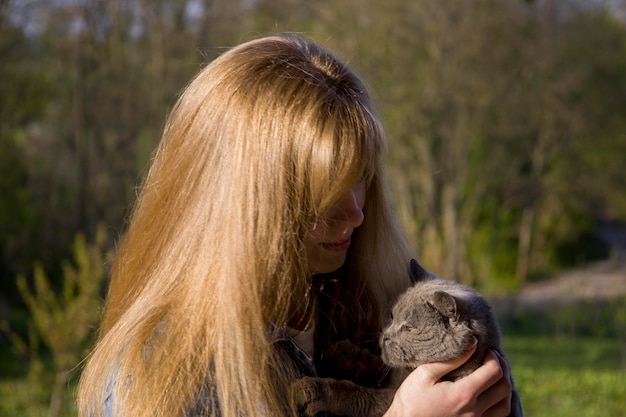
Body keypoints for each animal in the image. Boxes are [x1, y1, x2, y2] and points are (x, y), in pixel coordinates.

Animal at [290, 258, 520, 414]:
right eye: (392, 316)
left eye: (409, 328)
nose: (385, 337)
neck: (408, 373)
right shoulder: (392, 372)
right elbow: (379, 365)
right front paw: (344, 352)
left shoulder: (389, 400)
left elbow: (358, 394)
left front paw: (308, 390)